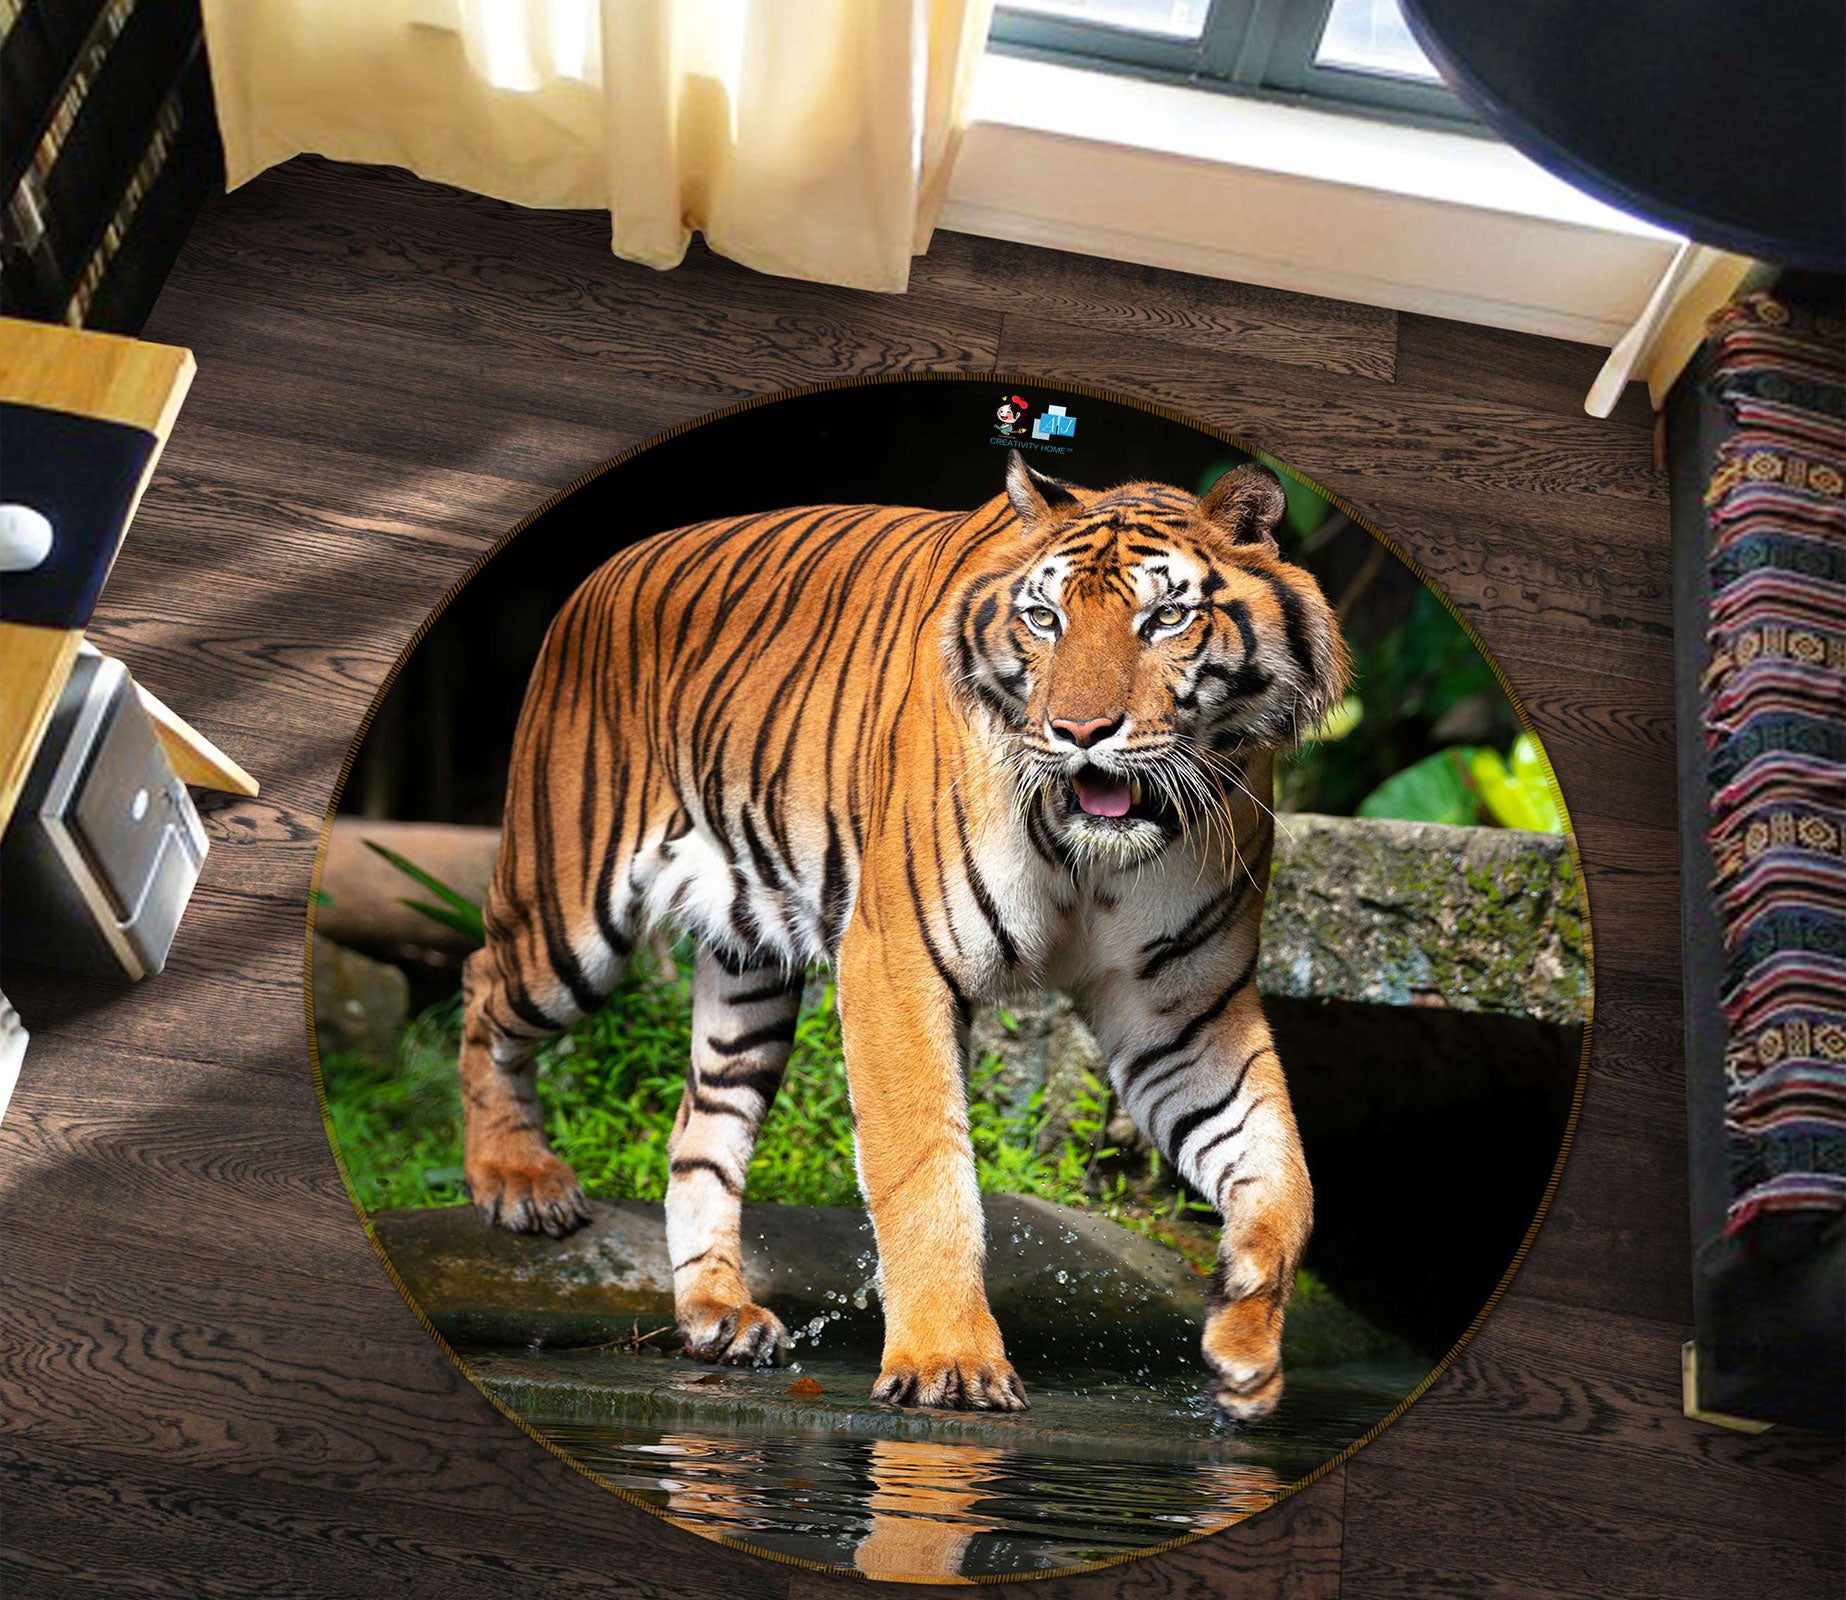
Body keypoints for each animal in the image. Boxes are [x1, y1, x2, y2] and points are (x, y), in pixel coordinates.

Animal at [457, 450, 1349, 1419]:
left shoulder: (1180, 1014)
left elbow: (1283, 1173)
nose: (1078, 732)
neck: (1095, 854)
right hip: (568, 909)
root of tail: (605, 569)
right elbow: (926, 1171)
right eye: (1045, 618)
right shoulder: (896, 962)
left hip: (748, 967)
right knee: (481, 984)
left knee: (699, 1126)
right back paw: (518, 1181)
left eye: (1166, 618)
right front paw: (947, 1363)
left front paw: (1245, 1340)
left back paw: (717, 1312)